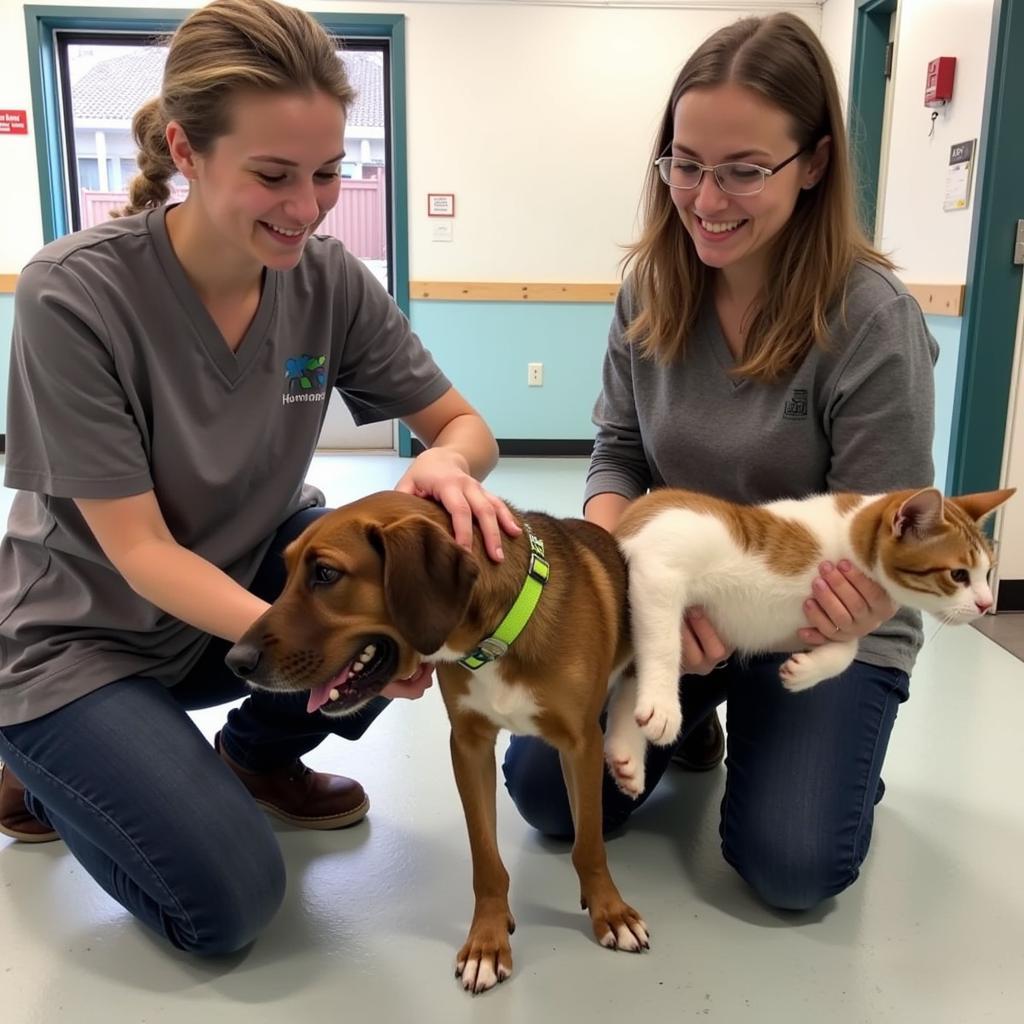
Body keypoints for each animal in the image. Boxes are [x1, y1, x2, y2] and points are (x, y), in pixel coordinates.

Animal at [229, 491, 651, 987]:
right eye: (288, 569)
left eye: (326, 574)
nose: (235, 660)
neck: (498, 639)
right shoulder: (468, 747)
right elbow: (485, 860)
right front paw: (487, 940)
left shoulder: (580, 743)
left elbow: (589, 844)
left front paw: (610, 911)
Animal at [602, 483, 1011, 794]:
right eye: (958, 575)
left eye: (988, 572)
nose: (985, 603)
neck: (845, 540)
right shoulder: (658, 568)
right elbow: (664, 647)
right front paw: (663, 706)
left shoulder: (801, 621)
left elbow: (848, 647)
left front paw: (804, 670)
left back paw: (626, 756)